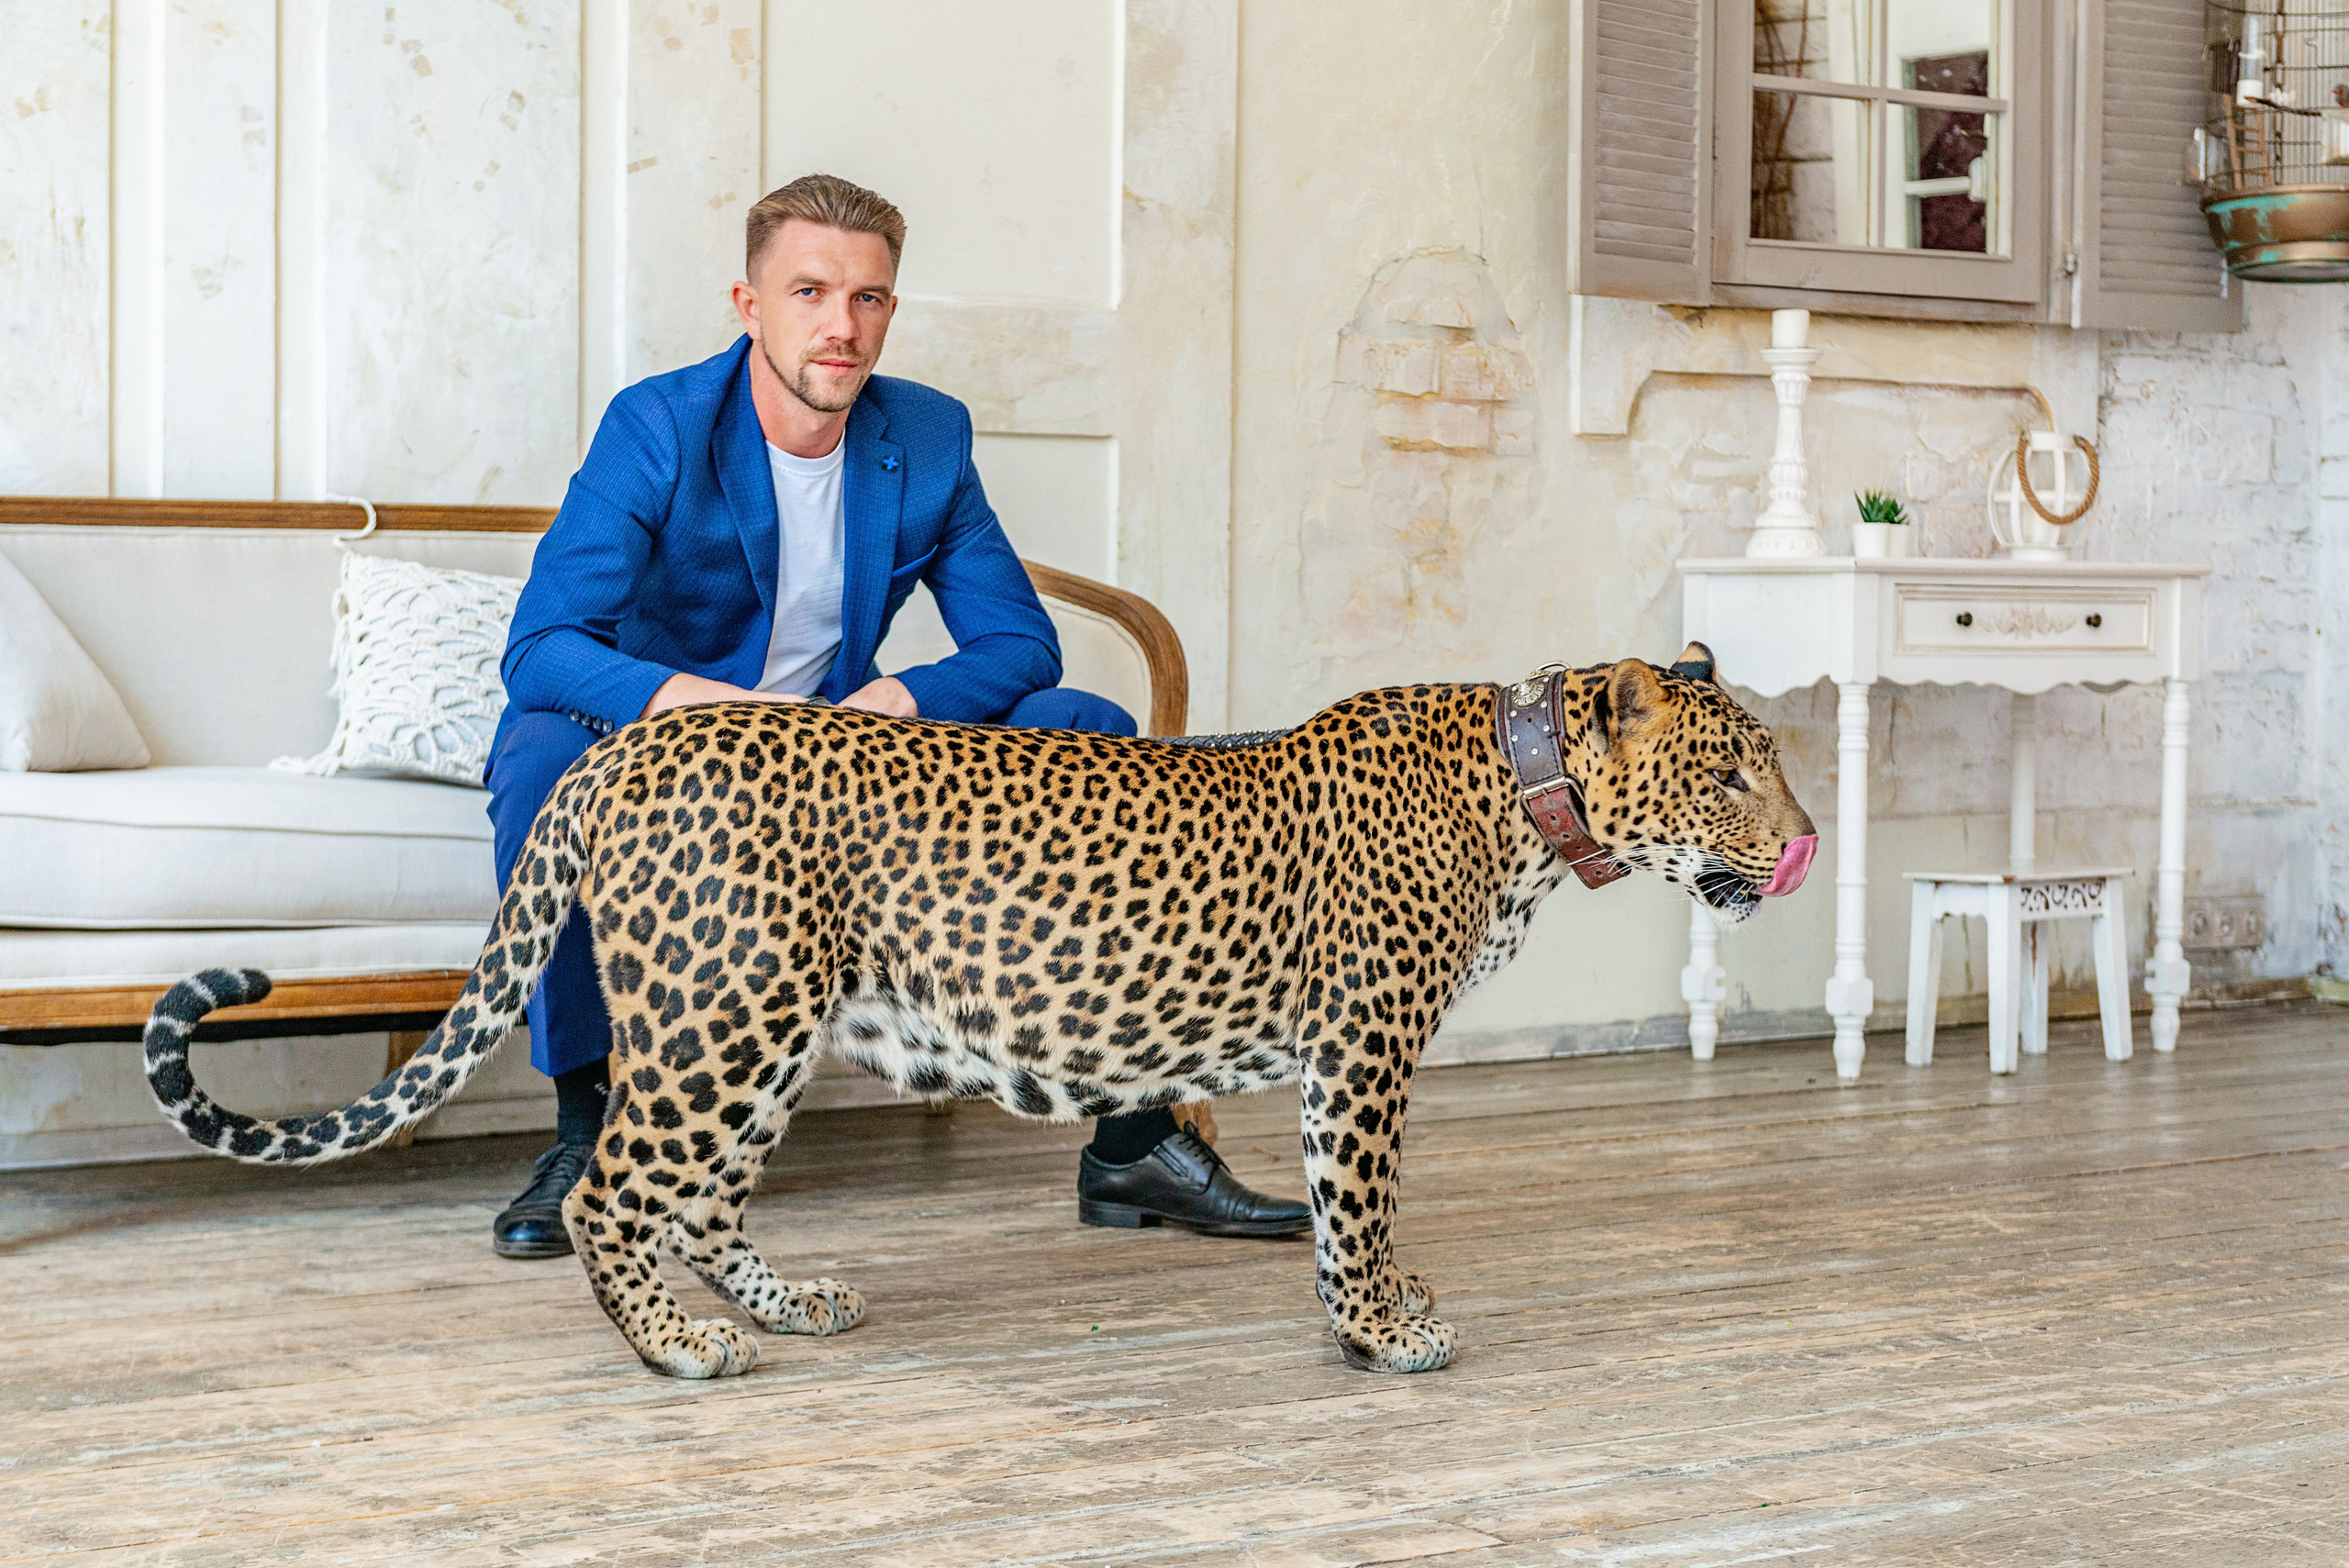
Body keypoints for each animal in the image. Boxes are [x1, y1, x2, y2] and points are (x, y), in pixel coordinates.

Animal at [145, 642, 1816, 1378]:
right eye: (1736, 769)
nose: (1802, 840)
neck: (1529, 800)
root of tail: (621, 747)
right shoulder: (1367, 1048)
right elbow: (1362, 1197)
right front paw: (1382, 1325)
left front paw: (1382, 1307)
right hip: (725, 1012)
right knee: (617, 1189)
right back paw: (682, 1349)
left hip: (772, 1024)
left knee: (705, 1197)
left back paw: (788, 1304)